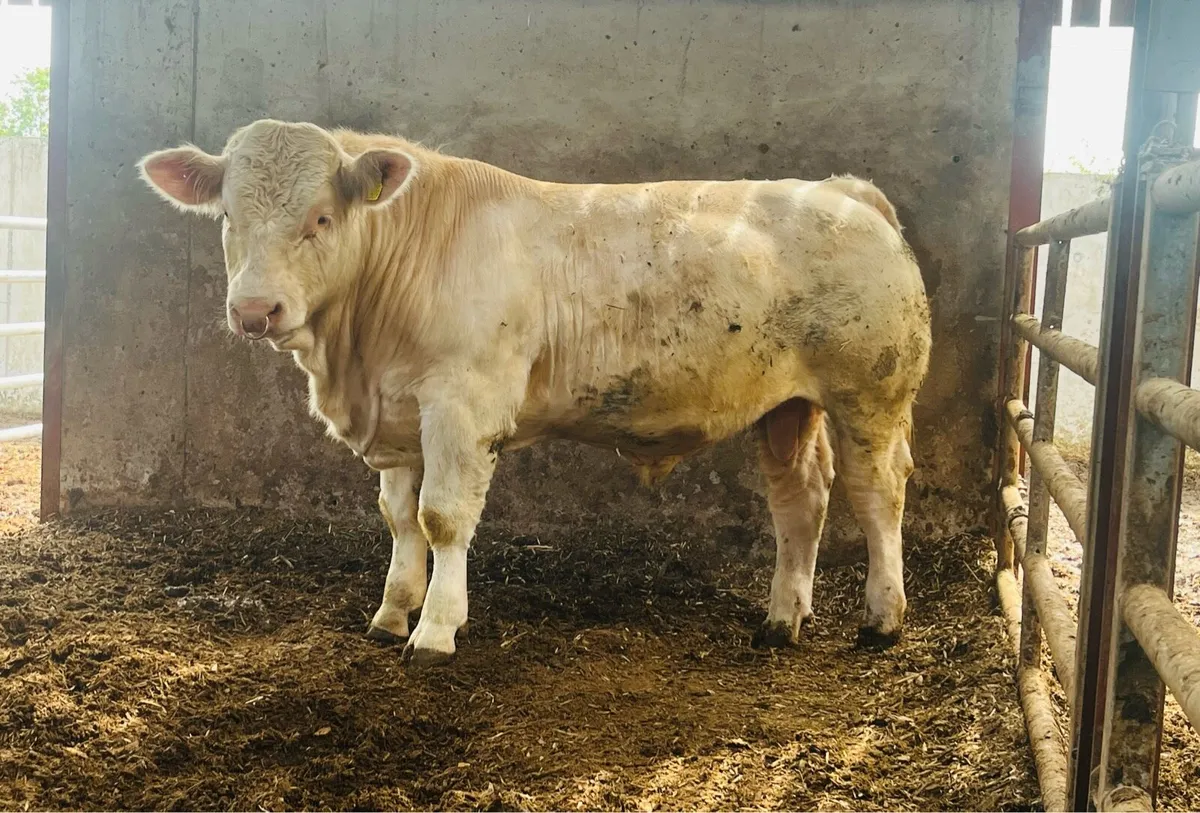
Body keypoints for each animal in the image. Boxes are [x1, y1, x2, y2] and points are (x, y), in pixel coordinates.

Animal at [138, 119, 931, 666]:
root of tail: (841, 189)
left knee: (876, 494)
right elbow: (399, 518)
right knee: (801, 498)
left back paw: (882, 617)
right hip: (785, 405)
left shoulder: (463, 404)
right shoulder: (401, 413)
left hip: (872, 394)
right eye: (229, 217)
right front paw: (391, 613)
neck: (356, 354)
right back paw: (780, 618)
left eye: (322, 218)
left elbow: (442, 518)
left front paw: (436, 628)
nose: (254, 310)